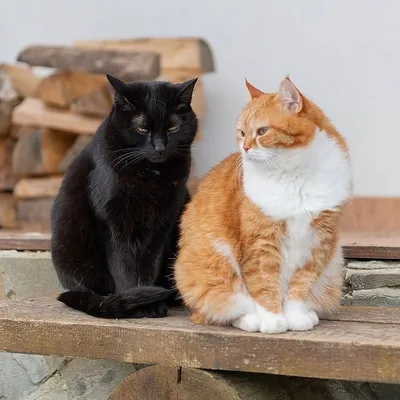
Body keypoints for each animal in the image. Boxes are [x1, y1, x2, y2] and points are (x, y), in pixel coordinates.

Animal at [51, 74, 198, 318]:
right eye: (142, 128)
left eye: (173, 127)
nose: (160, 147)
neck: (150, 175)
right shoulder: (113, 224)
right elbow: (123, 267)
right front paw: (136, 302)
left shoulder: (163, 224)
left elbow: (149, 265)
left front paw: (152, 303)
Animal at [177, 76, 352, 332]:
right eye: (241, 132)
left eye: (262, 131)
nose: (245, 148)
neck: (293, 174)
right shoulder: (261, 241)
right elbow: (263, 283)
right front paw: (273, 319)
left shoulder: (319, 240)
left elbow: (301, 284)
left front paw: (296, 316)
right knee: (224, 306)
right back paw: (249, 320)